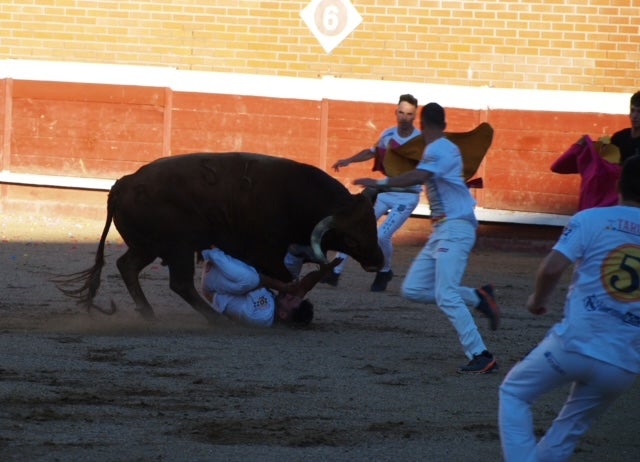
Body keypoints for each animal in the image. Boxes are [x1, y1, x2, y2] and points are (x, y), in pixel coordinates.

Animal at [55, 153, 382, 324]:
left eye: (372, 226)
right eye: (351, 240)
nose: (377, 261)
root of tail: (122, 184)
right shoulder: (265, 252)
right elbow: (286, 278)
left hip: (149, 246)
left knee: (128, 266)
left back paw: (149, 313)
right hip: (177, 247)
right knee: (180, 283)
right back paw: (215, 319)